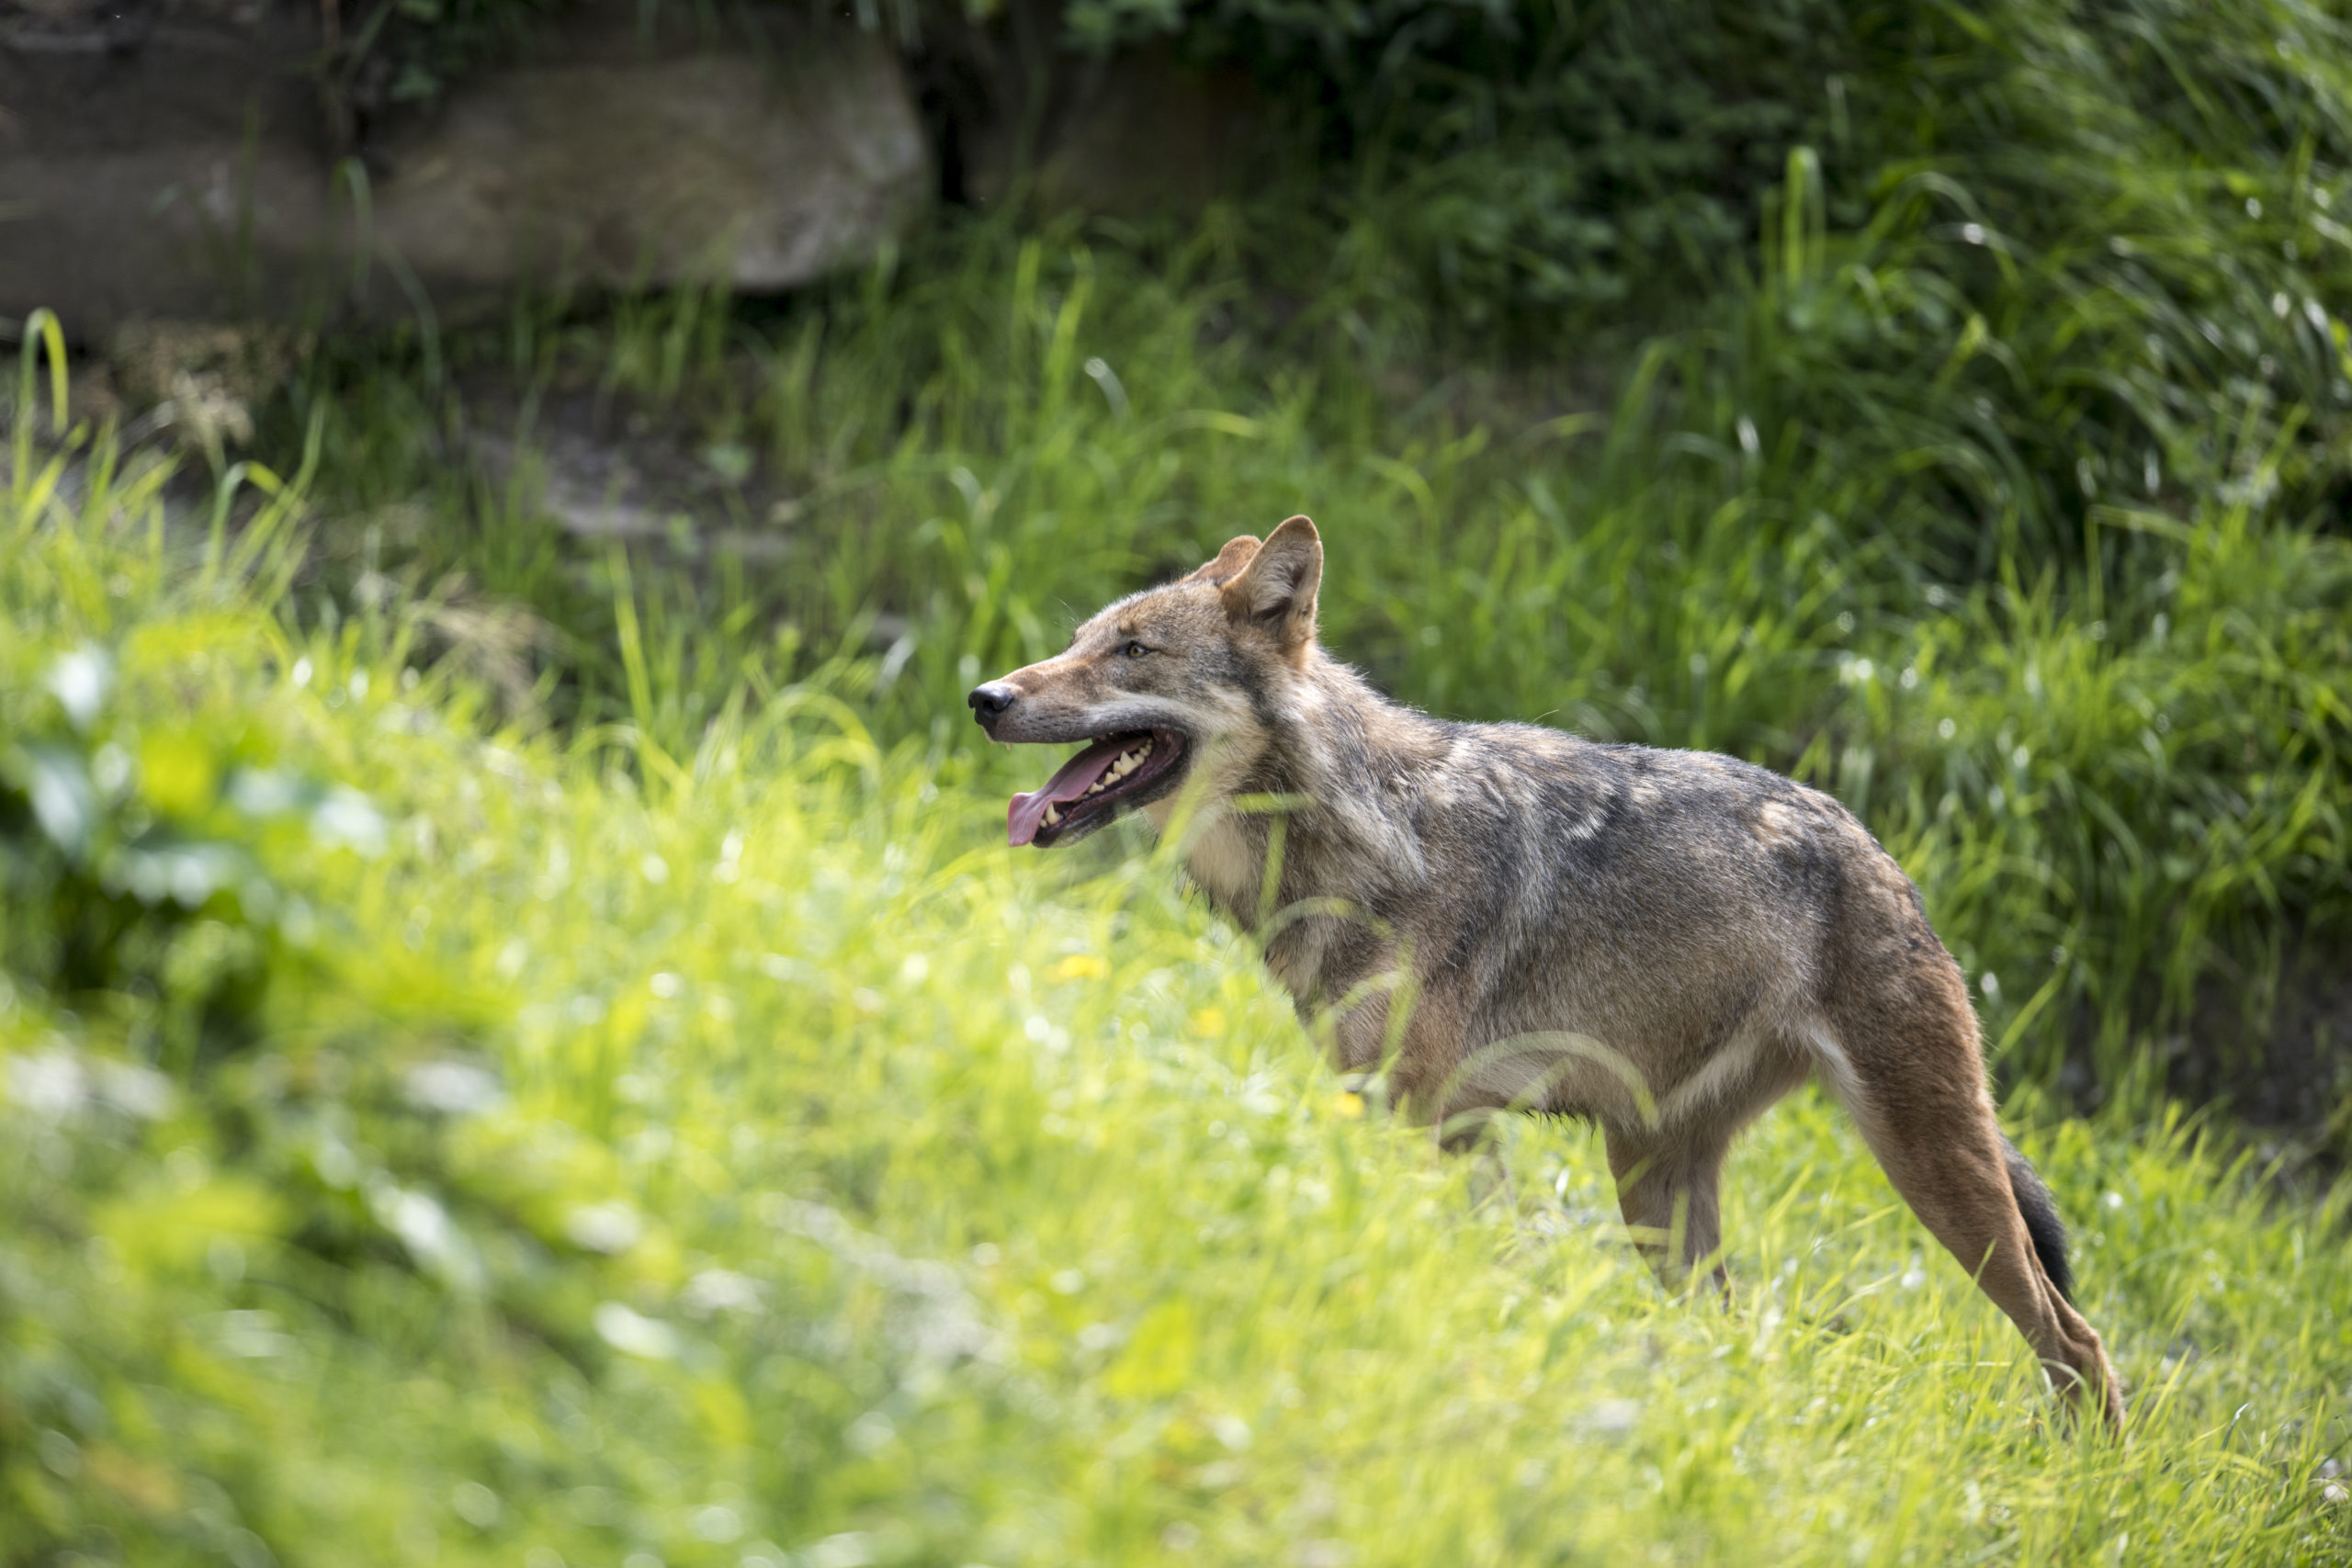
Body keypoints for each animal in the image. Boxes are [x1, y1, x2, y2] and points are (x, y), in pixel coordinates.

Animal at [964, 522, 2126, 1429]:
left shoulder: (1432, 1120)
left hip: (1926, 1163)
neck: (1366, 839)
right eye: (1077, 642)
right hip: (1653, 1187)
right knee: (1733, 1334)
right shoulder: (1410, 1117)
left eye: (1132, 650)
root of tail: (1882, 852)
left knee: (2079, 1343)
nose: (985, 696)